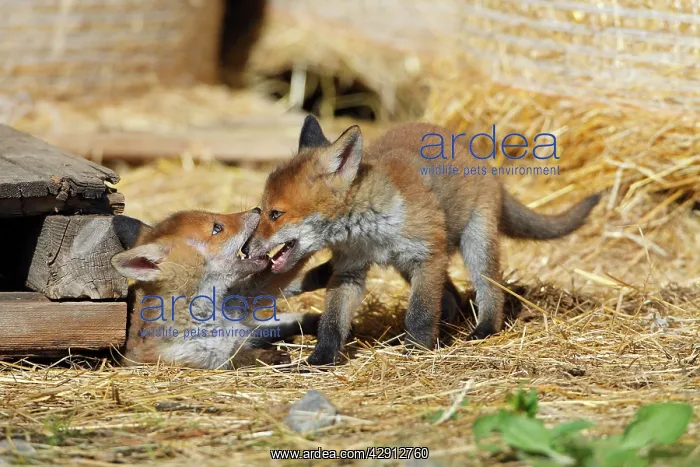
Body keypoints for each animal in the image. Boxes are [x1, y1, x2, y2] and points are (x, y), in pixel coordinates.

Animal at [110, 209, 332, 369]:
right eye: (217, 228)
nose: (257, 209)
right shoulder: (202, 358)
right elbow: (236, 358)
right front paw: (268, 356)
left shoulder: (240, 301)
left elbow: (276, 280)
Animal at [243, 116, 601, 365]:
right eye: (261, 210)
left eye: (275, 214)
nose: (245, 249)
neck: (368, 231)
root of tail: (475, 153)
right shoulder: (350, 270)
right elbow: (332, 323)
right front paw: (320, 359)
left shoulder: (427, 256)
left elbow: (419, 313)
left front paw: (416, 350)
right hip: (410, 264)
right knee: (452, 298)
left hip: (474, 245)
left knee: (489, 291)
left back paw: (482, 329)